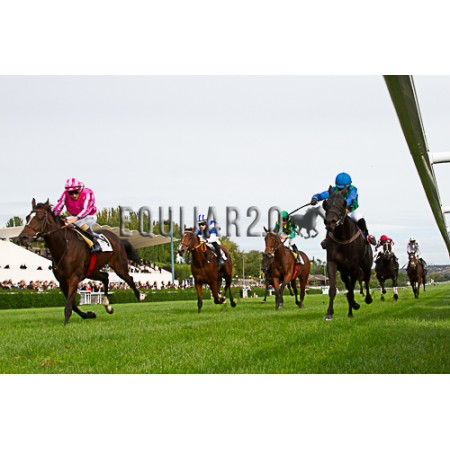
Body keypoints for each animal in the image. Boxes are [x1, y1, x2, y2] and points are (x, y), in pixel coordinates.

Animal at [322, 187, 373, 320]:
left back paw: (367, 299)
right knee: (348, 283)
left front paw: (353, 307)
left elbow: (351, 290)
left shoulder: (354, 267)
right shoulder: (332, 262)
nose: (330, 222)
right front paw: (329, 313)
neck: (343, 239)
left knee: (366, 279)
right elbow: (333, 289)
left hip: (366, 265)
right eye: (326, 203)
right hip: (344, 271)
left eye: (343, 203)